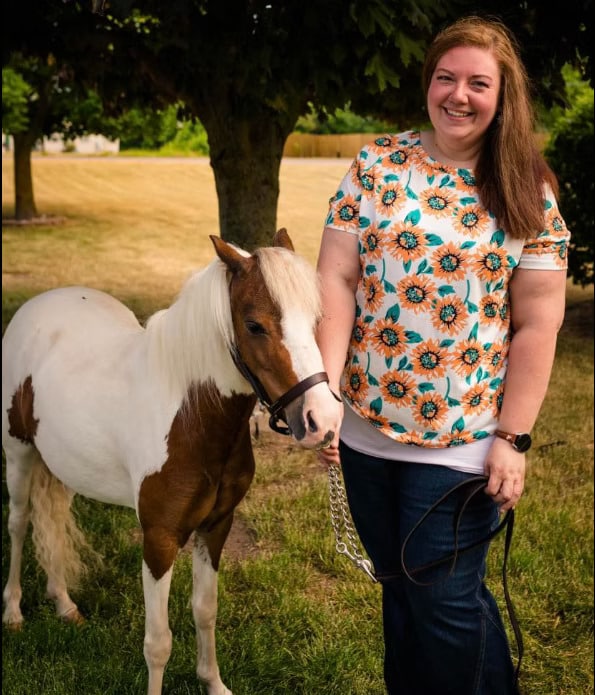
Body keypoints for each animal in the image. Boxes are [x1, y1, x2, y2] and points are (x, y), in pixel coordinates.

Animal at [1, 228, 342, 695]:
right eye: (254, 325)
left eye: (316, 320)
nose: (321, 420)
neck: (191, 417)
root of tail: (39, 303)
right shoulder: (159, 538)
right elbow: (158, 642)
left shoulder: (216, 526)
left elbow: (205, 609)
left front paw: (214, 683)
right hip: (17, 453)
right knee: (19, 523)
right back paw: (13, 612)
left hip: (61, 464)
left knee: (49, 520)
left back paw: (65, 604)